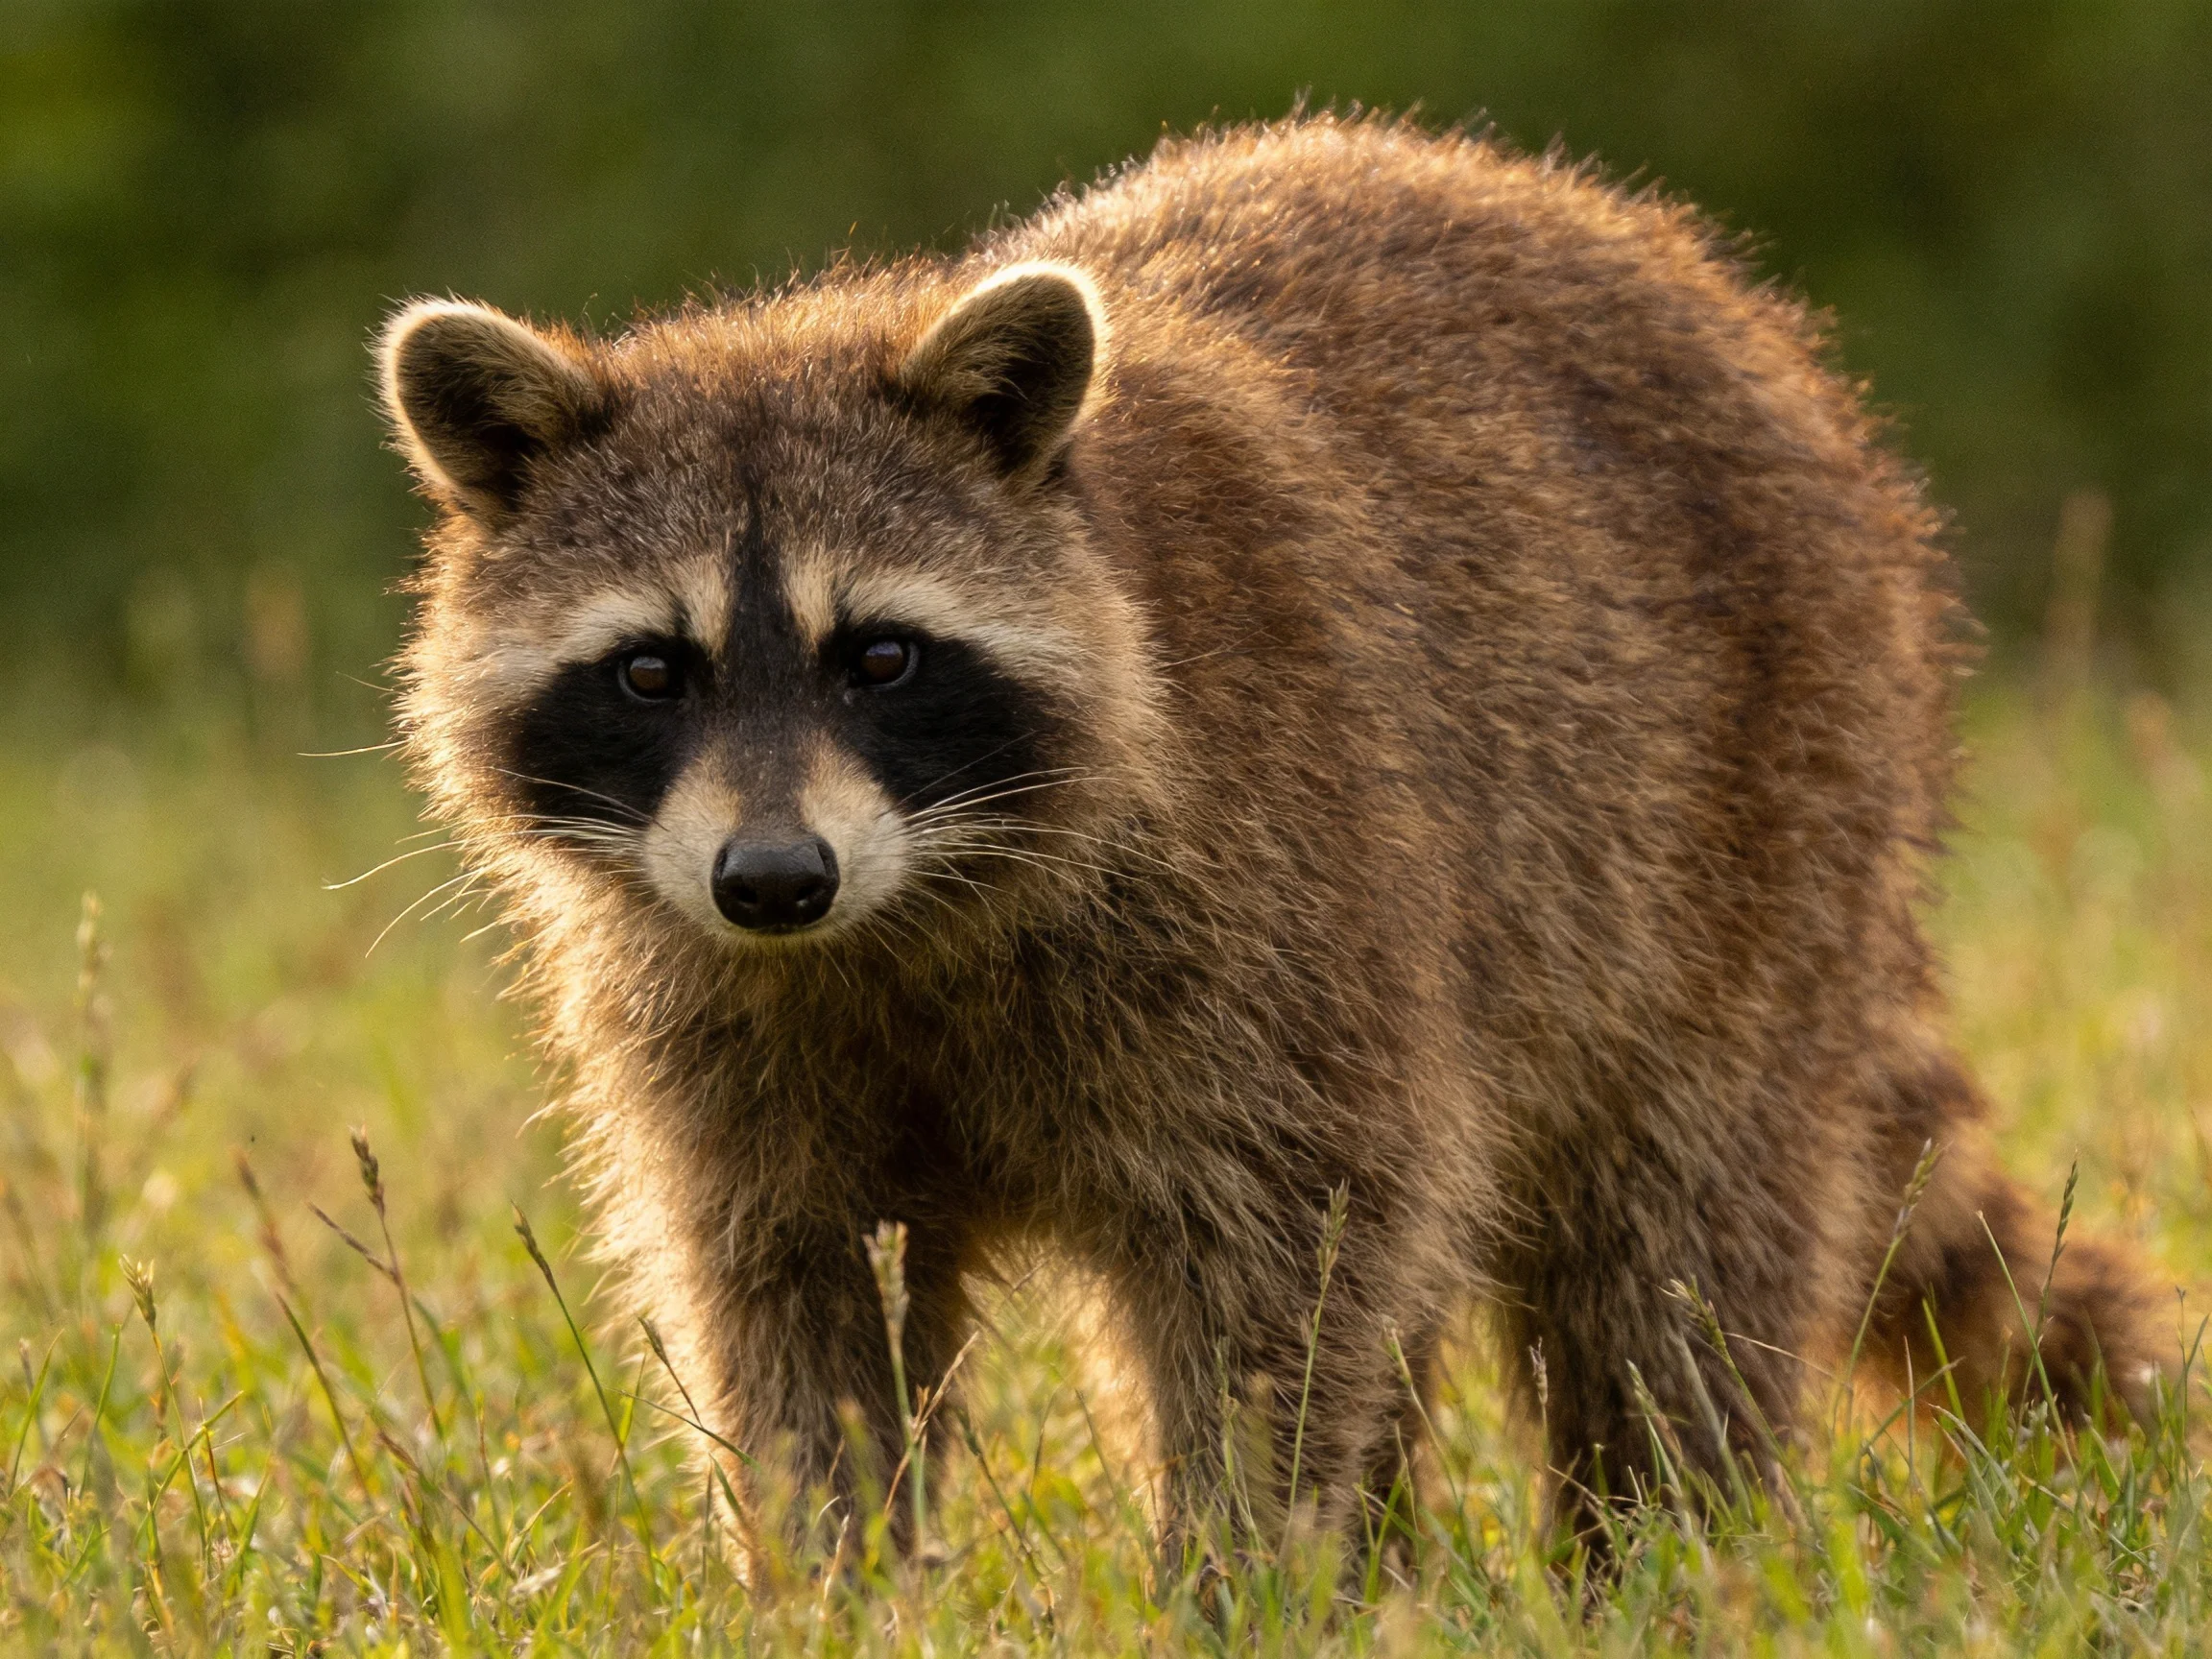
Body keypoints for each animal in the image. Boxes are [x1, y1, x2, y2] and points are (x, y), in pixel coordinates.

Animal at [380, 116, 2172, 1550]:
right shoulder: (719, 1017)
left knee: (1673, 1240)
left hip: (1751, 825)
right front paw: (835, 1577)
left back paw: (1665, 1548)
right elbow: (787, 1299)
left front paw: (1237, 1570)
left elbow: (1285, 1275)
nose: (770, 880)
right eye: (650, 671)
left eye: (878, 657)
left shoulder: (1276, 891)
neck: (900, 918)